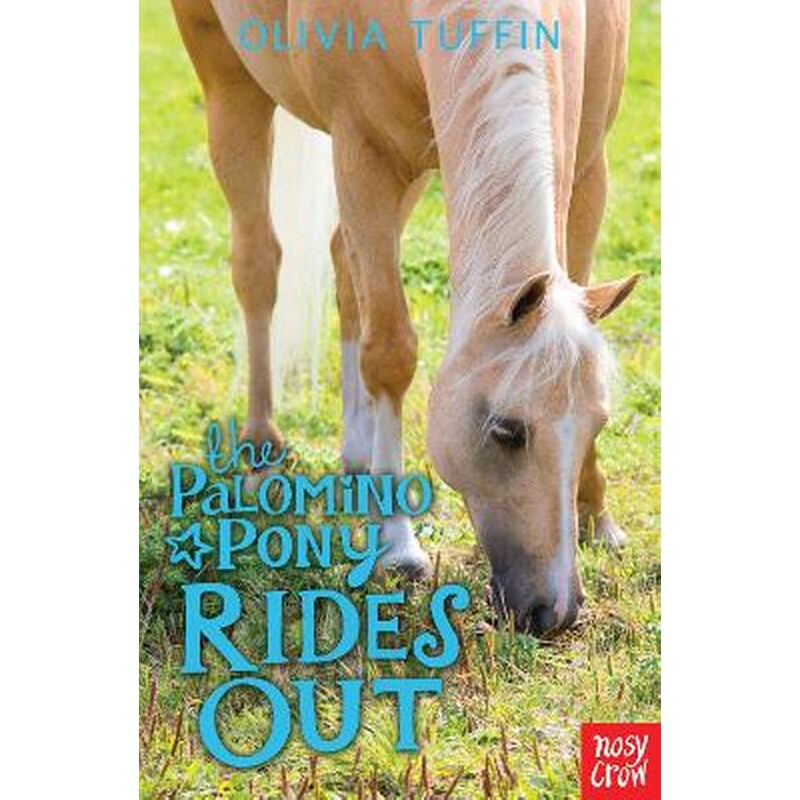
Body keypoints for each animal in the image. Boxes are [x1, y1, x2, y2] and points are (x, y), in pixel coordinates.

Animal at [171, 0, 639, 637]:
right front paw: (397, 546)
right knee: (258, 265)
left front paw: (597, 516)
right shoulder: (363, 152)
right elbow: (390, 351)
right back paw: (262, 443)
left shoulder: (590, 164)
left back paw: (357, 450)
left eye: (598, 423)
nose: (555, 612)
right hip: (229, 83)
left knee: (344, 266)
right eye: (506, 431)